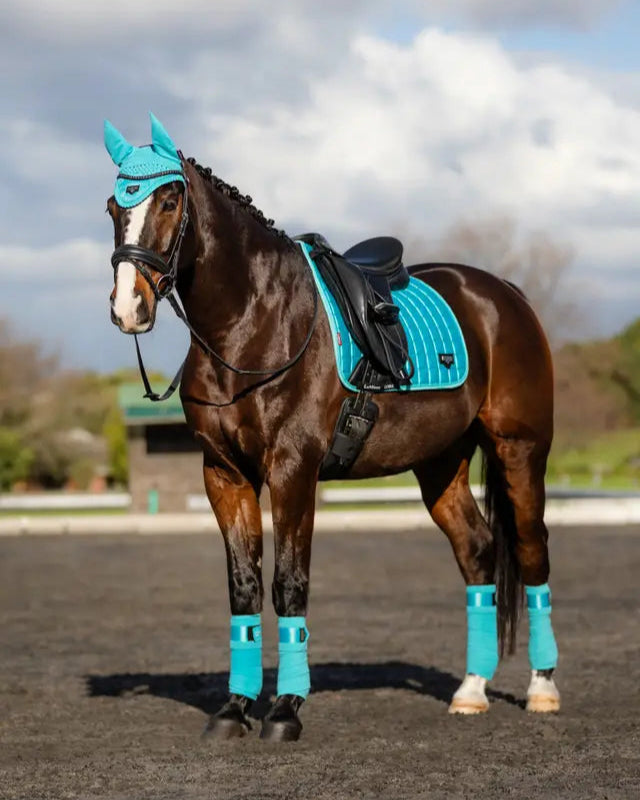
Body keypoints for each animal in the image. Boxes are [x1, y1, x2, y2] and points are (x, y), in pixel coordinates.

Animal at [105, 114, 560, 741]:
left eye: (170, 200)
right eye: (112, 206)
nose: (129, 307)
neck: (254, 322)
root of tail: (506, 294)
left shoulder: (293, 472)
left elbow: (289, 584)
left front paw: (285, 710)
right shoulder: (223, 474)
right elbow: (244, 589)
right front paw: (234, 708)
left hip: (520, 450)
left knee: (532, 550)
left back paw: (542, 689)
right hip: (441, 463)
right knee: (477, 550)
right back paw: (470, 691)